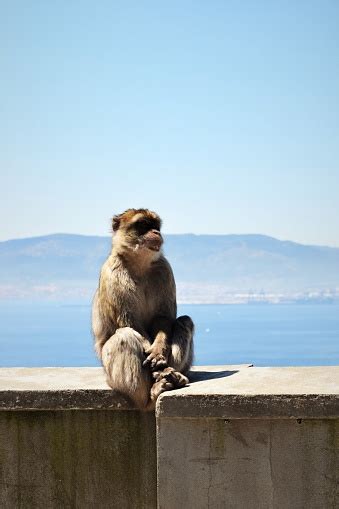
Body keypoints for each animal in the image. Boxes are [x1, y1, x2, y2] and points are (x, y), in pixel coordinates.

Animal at [91, 206, 195, 408]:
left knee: (184, 321)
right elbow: (129, 321)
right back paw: (151, 396)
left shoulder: (164, 269)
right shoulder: (113, 272)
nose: (156, 232)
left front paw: (158, 352)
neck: (139, 264)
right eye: (143, 225)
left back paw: (172, 377)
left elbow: (162, 318)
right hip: (110, 374)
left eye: (156, 225)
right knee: (124, 336)